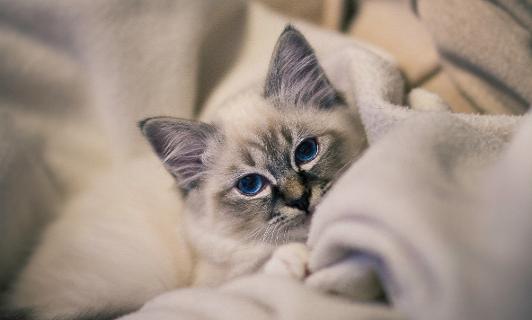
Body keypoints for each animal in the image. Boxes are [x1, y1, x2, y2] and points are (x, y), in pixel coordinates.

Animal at [4, 25, 368, 320]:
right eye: (251, 185)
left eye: (306, 152)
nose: (300, 199)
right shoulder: (205, 286)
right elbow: (254, 273)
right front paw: (294, 261)